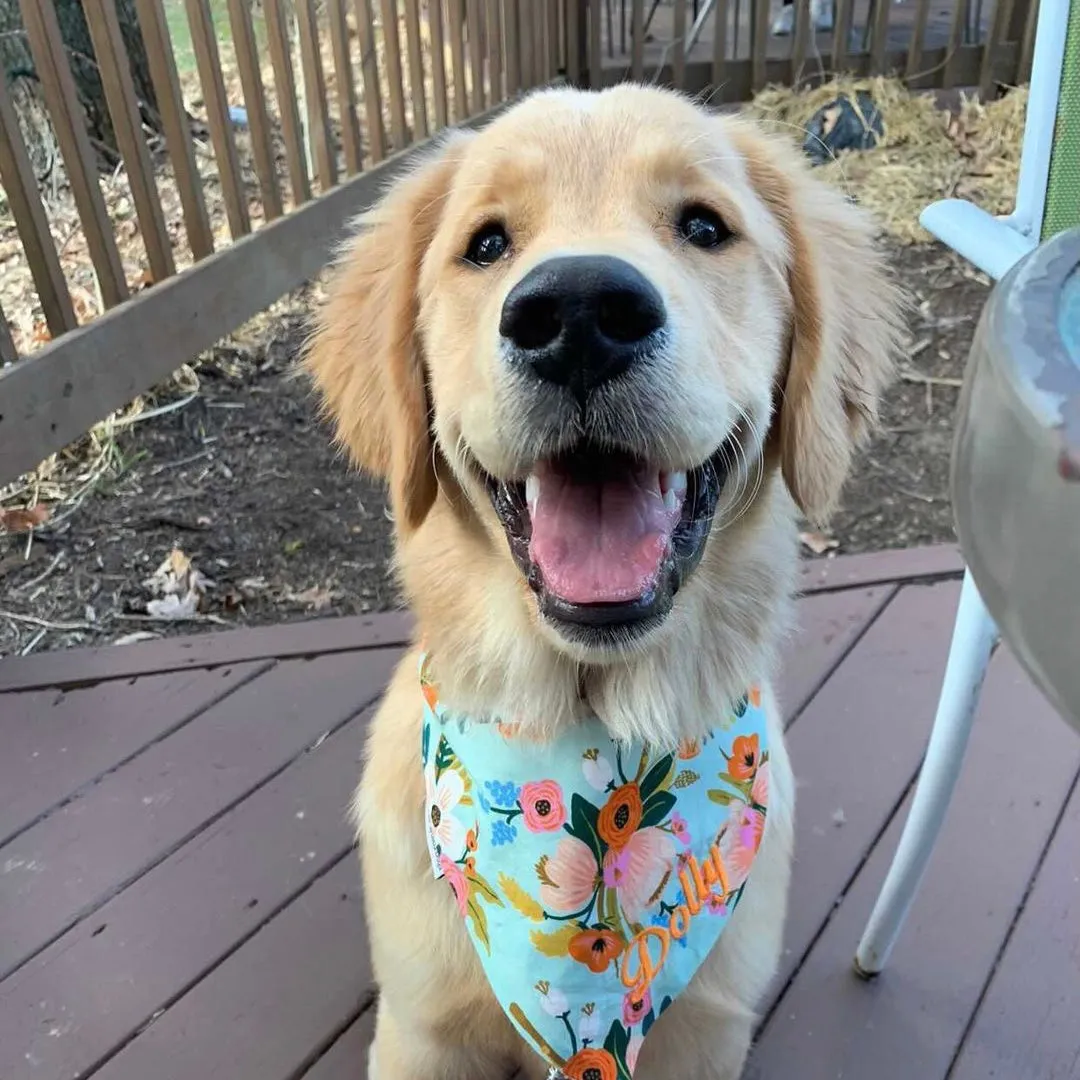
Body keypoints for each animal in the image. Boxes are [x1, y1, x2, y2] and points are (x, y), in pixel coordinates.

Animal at [306, 84, 902, 1080]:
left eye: (703, 226)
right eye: (487, 244)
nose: (579, 313)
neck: (591, 733)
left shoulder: (707, 1035)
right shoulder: (421, 1032)